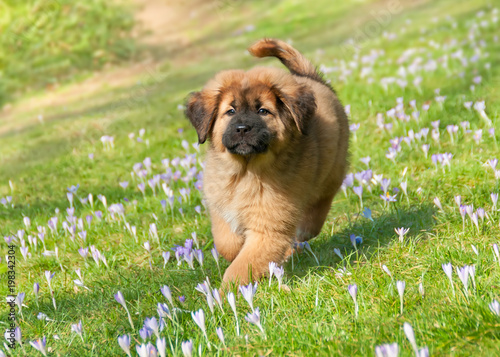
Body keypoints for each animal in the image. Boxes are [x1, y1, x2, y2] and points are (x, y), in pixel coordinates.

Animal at [186, 39, 350, 284]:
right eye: (230, 111)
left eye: (263, 111)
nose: (242, 128)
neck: (245, 171)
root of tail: (312, 79)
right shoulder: (221, 207)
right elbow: (227, 243)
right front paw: (235, 250)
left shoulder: (269, 227)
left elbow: (241, 267)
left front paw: (227, 292)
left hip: (330, 175)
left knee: (314, 214)